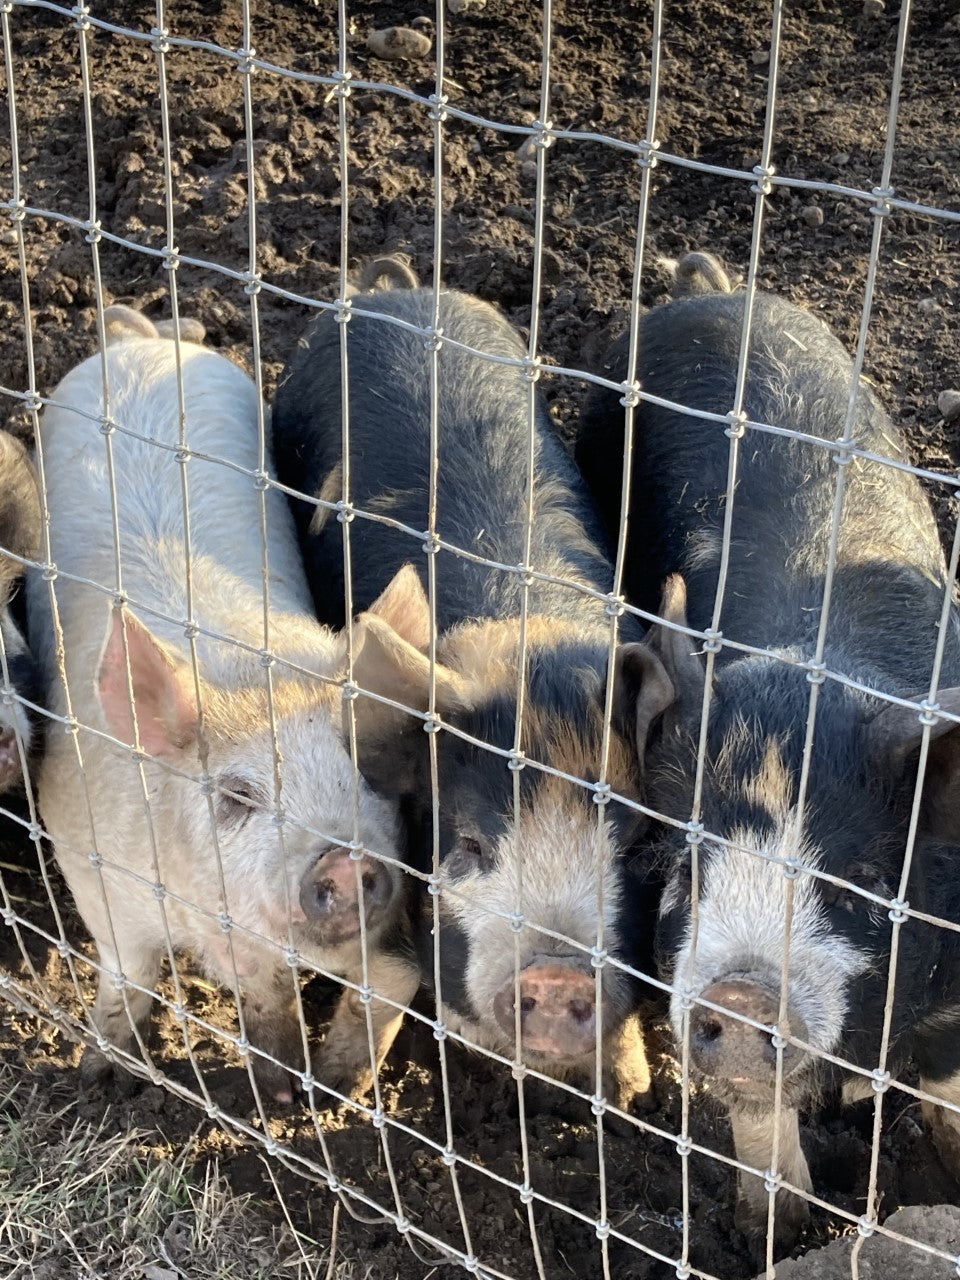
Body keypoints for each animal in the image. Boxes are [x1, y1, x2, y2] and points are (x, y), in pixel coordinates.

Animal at [25, 307, 417, 1100]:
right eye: (236, 796)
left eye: (373, 773)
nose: (344, 860)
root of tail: (143, 341)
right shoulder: (86, 857)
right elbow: (130, 973)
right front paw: (104, 1075)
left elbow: (384, 983)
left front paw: (325, 1090)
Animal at [271, 257, 675, 1111]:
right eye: (468, 844)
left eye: (633, 848)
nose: (557, 975)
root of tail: (397, 289)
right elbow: (389, 966)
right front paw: (333, 1091)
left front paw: (629, 1095)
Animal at [578, 254, 960, 1254]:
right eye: (687, 868)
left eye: (863, 880)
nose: (745, 996)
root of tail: (713, 288)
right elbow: (759, 1124)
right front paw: (777, 1236)